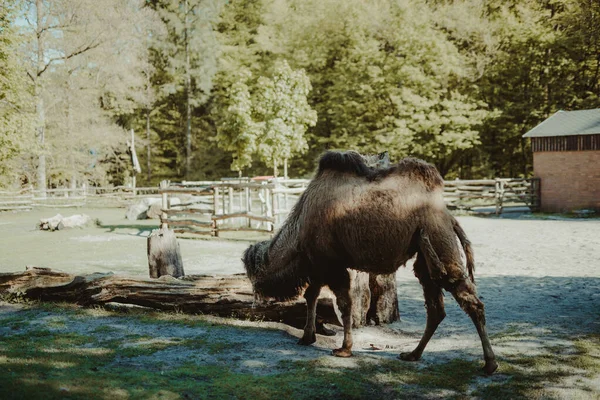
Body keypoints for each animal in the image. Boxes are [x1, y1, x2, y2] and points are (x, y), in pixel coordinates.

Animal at [241, 150, 500, 376]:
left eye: (253, 275)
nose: (254, 299)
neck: (300, 228)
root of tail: (448, 215)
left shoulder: (330, 263)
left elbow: (344, 303)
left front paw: (343, 349)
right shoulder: (318, 264)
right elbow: (311, 295)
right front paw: (307, 337)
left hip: (439, 240)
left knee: (470, 301)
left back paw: (490, 364)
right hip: (425, 258)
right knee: (436, 308)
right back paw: (412, 354)